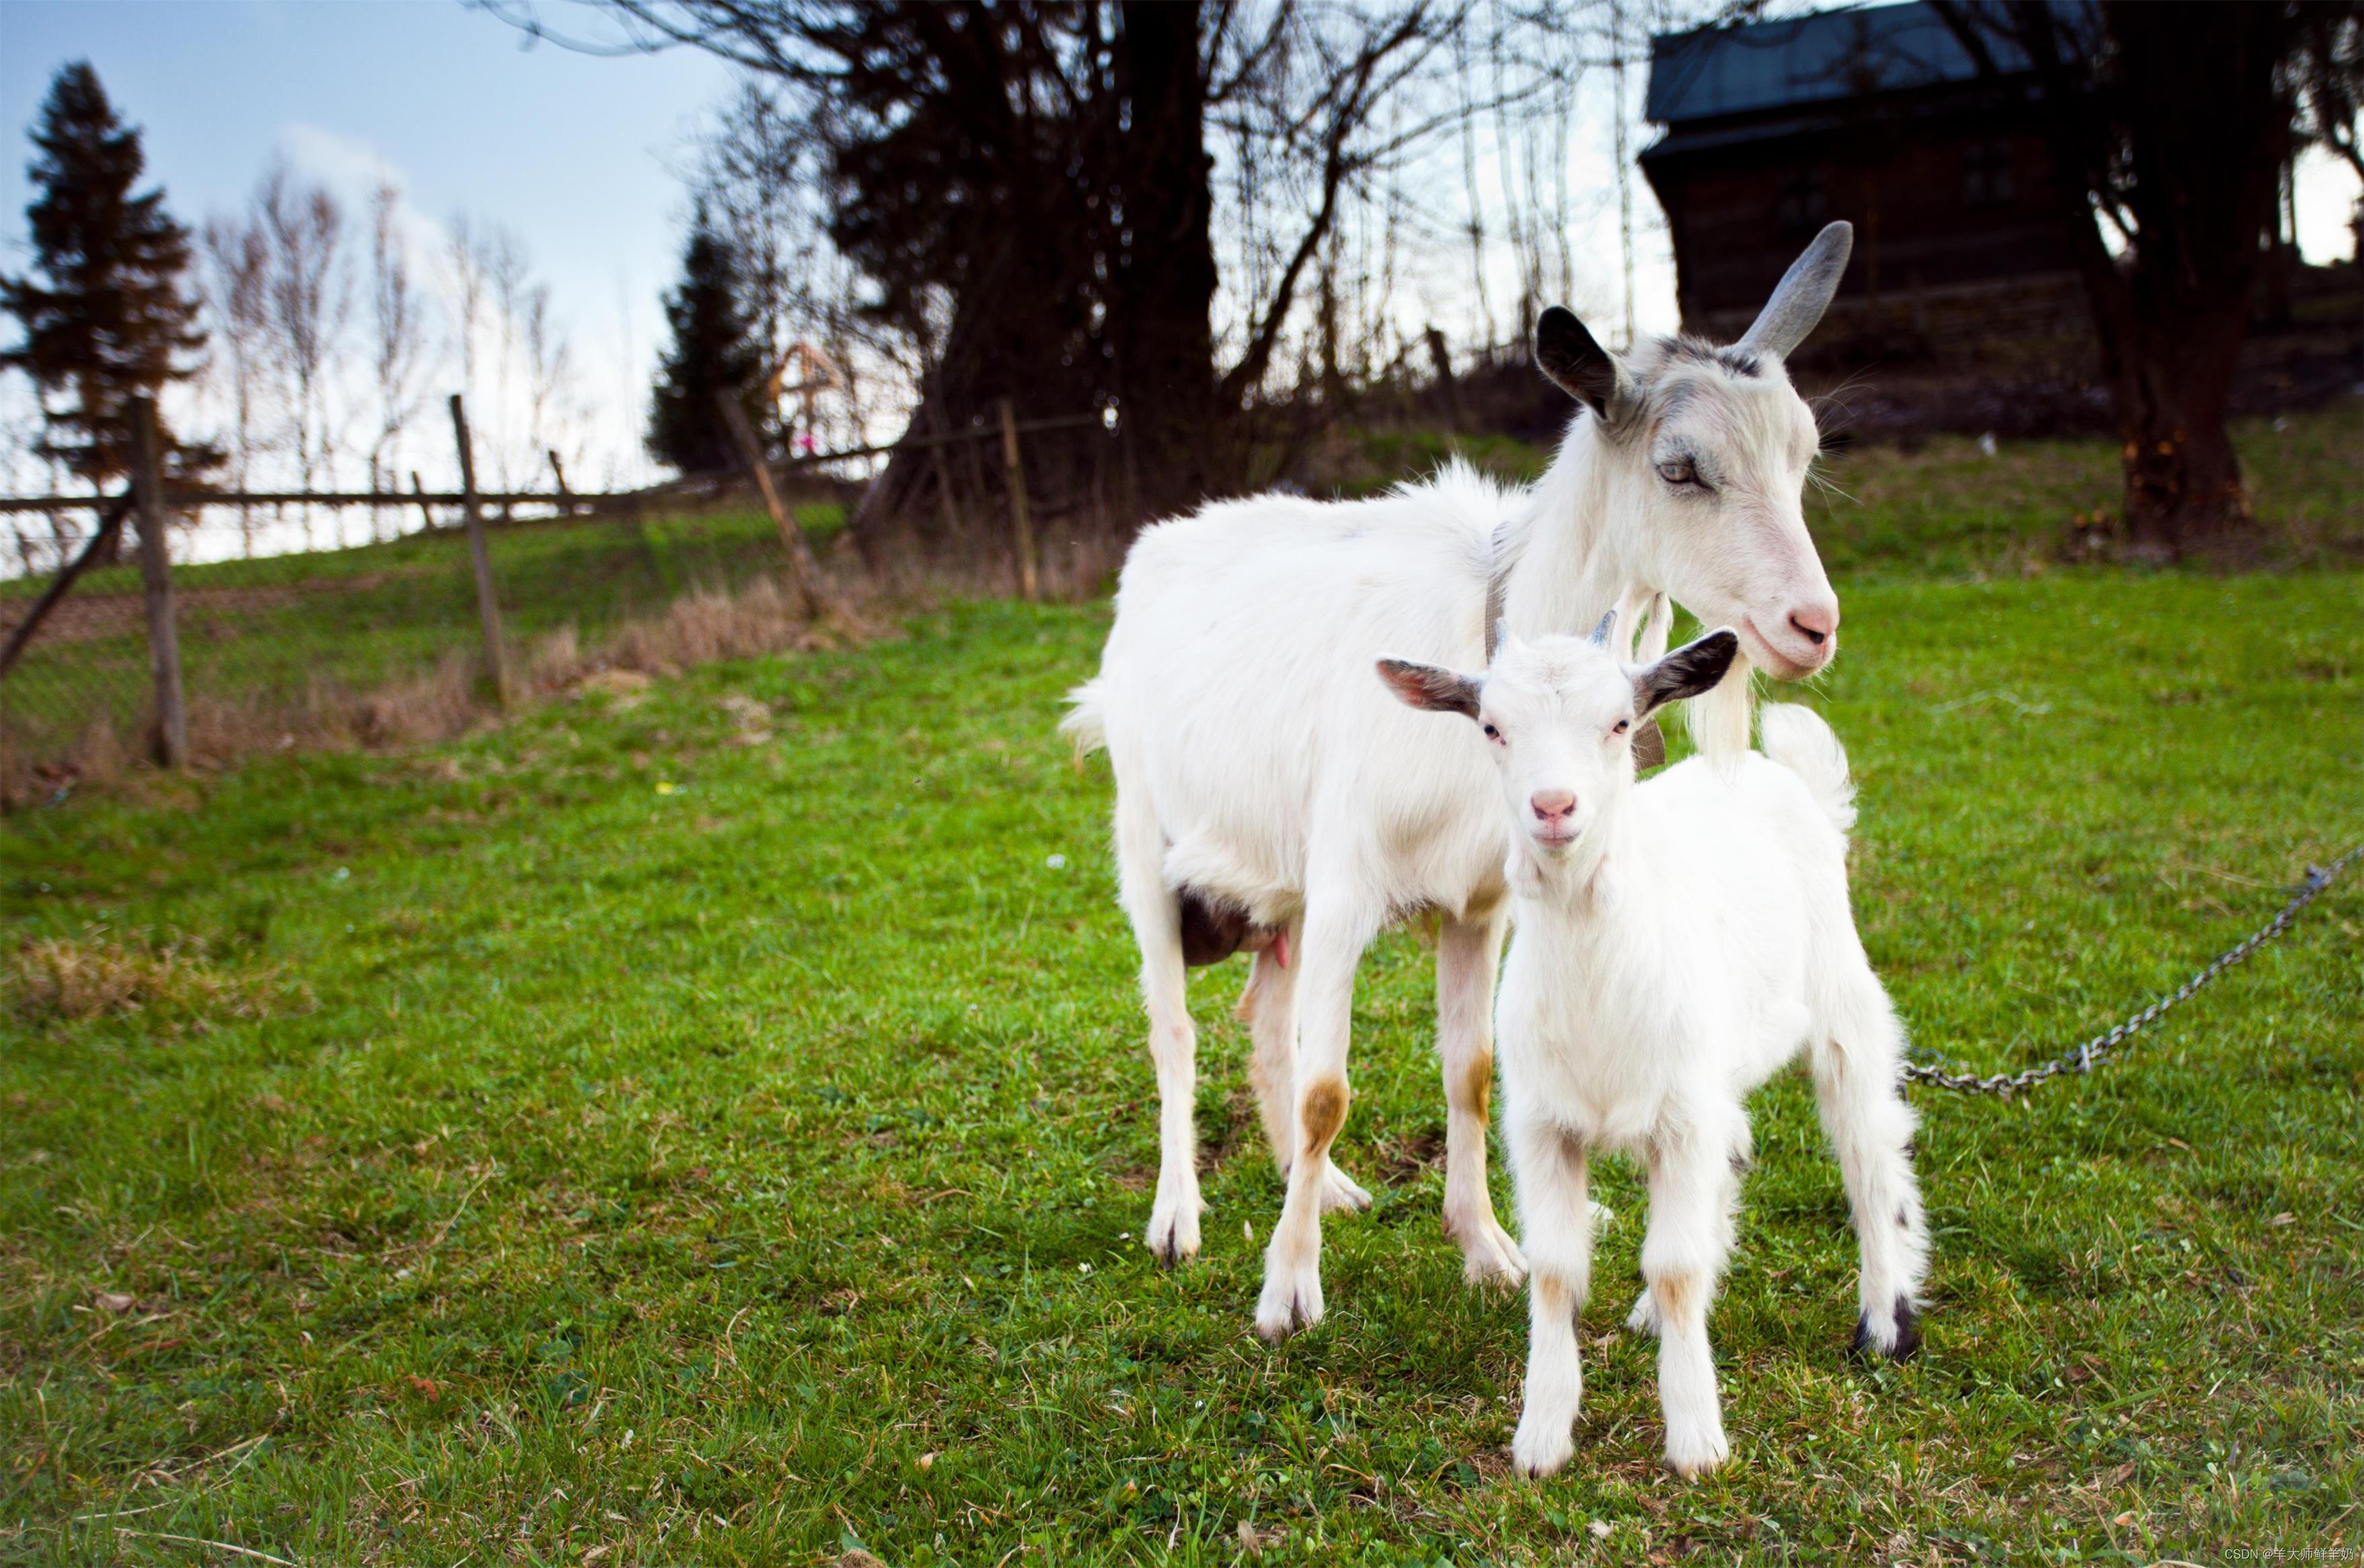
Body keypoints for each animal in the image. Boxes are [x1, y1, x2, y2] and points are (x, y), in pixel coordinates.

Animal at [1073, 227, 1863, 1343]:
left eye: (1804, 453)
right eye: (1679, 468)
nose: (1811, 625)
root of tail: (1155, 551)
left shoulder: (1476, 905)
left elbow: (1472, 1071)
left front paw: (1484, 1245)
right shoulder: (1348, 886)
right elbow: (1327, 1088)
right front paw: (1287, 1290)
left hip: (1281, 878)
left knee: (1264, 1014)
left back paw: (1323, 1185)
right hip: (1147, 837)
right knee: (1174, 1023)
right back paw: (1178, 1217)